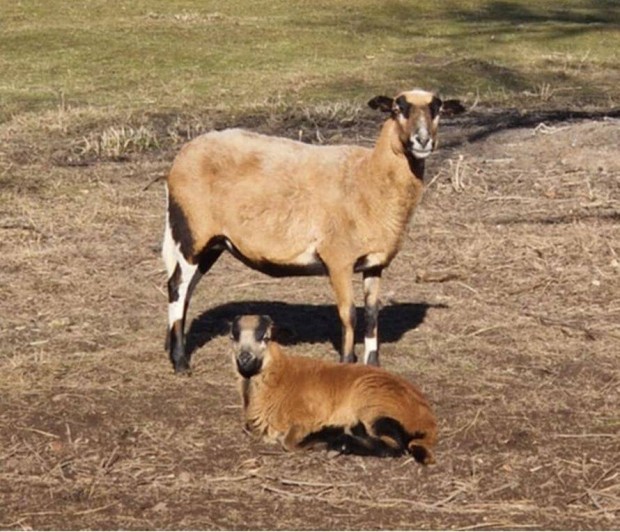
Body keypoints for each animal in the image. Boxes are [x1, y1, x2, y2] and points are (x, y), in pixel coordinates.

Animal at [162, 87, 462, 372]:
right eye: (397, 109)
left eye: (437, 110)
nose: (422, 140)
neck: (369, 177)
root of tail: (182, 156)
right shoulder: (338, 259)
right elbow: (349, 314)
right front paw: (347, 361)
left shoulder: (375, 262)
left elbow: (371, 314)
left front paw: (373, 364)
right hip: (193, 231)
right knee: (177, 285)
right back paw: (180, 362)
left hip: (213, 242)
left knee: (186, 289)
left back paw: (173, 346)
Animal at [230, 314, 438, 464]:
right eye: (234, 337)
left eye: (265, 337)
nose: (245, 358)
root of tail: (427, 420)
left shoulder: (307, 416)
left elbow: (288, 442)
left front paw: (318, 441)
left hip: (374, 403)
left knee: (393, 446)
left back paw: (340, 441)